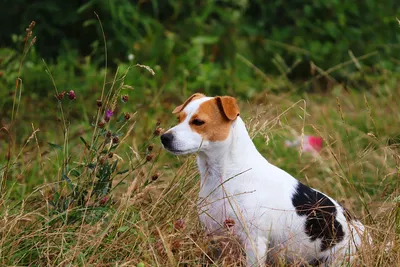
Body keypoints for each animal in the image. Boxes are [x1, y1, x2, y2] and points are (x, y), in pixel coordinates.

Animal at [161, 93, 368, 266]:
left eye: (198, 122)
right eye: (179, 119)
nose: (164, 137)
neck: (224, 174)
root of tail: (358, 228)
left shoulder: (255, 241)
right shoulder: (215, 236)